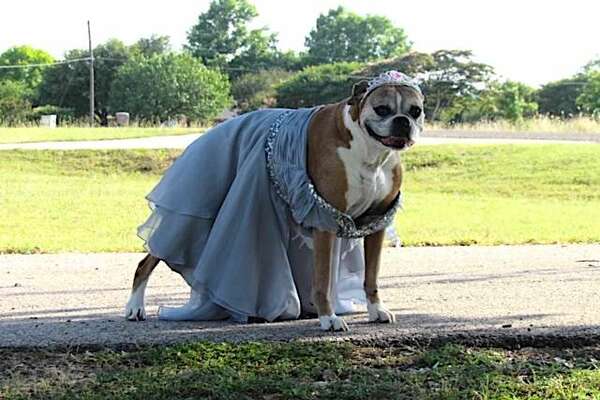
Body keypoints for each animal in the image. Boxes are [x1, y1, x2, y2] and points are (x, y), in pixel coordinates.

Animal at [124, 71, 424, 332]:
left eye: (415, 111)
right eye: (382, 109)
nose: (402, 121)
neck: (370, 152)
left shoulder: (376, 223)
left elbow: (371, 276)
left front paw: (376, 310)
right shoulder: (325, 219)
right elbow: (323, 280)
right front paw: (329, 319)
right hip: (187, 215)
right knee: (149, 259)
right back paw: (135, 308)